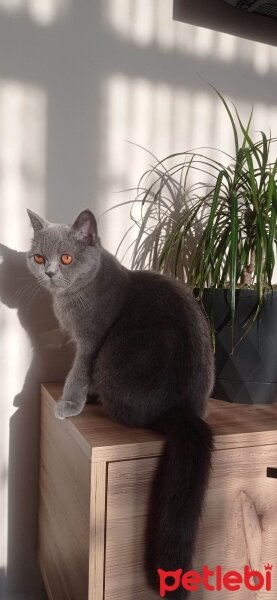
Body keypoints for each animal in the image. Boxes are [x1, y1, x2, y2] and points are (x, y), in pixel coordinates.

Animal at [25, 209, 213, 596]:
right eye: (37, 258)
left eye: (66, 259)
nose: (48, 272)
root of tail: (181, 411)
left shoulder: (91, 342)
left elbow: (77, 373)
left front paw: (68, 404)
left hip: (112, 360)